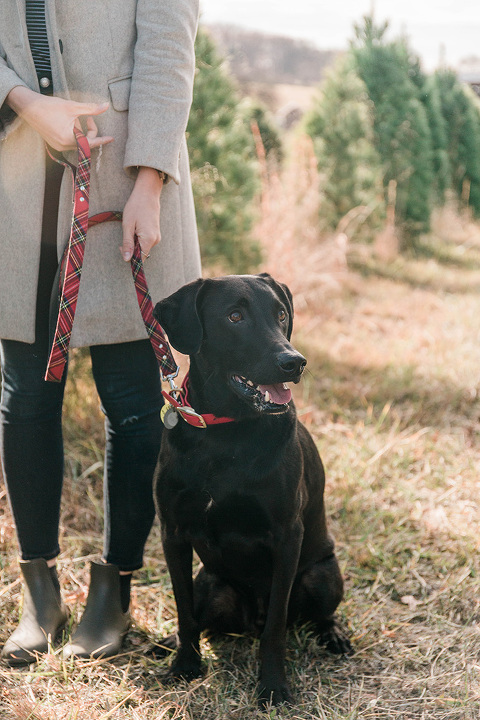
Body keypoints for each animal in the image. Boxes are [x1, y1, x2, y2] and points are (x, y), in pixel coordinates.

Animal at [153, 272, 348, 704]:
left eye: (281, 314)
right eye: (234, 316)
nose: (293, 362)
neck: (227, 435)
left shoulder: (287, 535)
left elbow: (275, 627)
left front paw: (273, 686)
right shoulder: (173, 533)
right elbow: (183, 612)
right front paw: (185, 666)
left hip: (323, 576)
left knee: (314, 615)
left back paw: (334, 636)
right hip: (211, 585)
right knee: (203, 618)